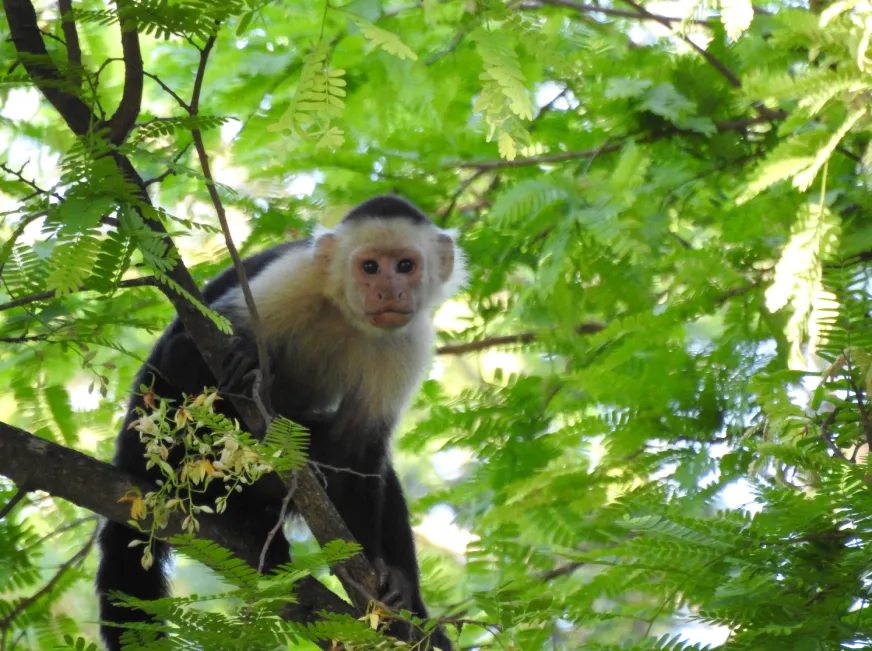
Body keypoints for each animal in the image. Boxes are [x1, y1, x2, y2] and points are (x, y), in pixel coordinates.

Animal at [95, 195, 465, 651]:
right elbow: (180, 355)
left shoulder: (408, 340)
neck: (345, 314)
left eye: (406, 265)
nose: (388, 290)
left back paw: (406, 598)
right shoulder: (292, 279)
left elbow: (360, 453)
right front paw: (244, 364)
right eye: (370, 267)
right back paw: (248, 516)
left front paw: (378, 574)